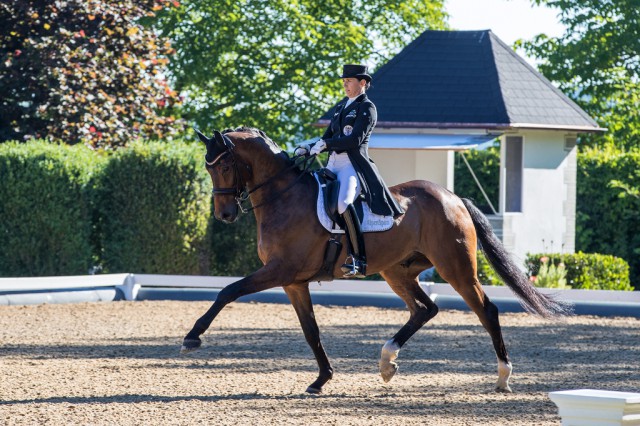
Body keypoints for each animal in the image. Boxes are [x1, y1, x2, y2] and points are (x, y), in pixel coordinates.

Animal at [181, 128, 568, 394]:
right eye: (208, 167)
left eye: (225, 165)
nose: (225, 214)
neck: (283, 196)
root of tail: (453, 196)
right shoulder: (294, 281)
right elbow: (311, 331)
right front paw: (322, 379)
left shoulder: (279, 271)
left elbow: (228, 291)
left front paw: (192, 337)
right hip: (397, 271)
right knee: (425, 309)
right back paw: (387, 363)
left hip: (454, 266)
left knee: (485, 310)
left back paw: (503, 376)